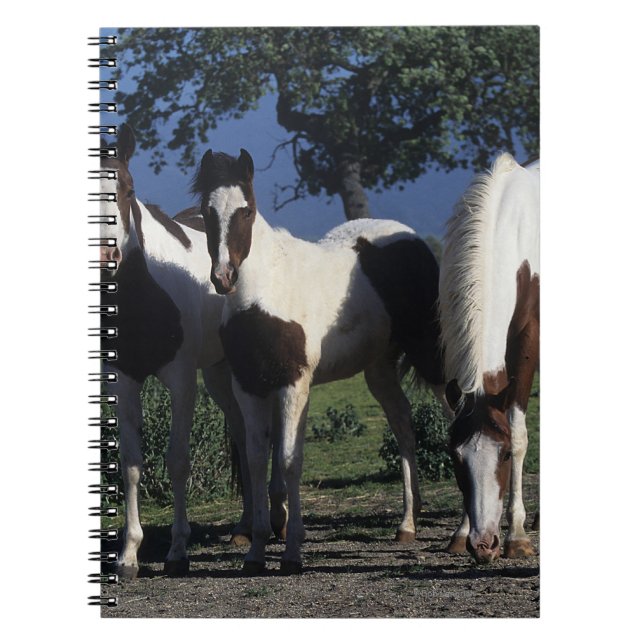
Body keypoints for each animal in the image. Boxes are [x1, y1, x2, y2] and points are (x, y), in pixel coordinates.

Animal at [97, 125, 287, 578]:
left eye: (128, 189)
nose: (107, 256)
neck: (144, 292)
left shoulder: (181, 381)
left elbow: (178, 460)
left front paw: (178, 550)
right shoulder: (125, 381)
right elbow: (131, 464)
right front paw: (128, 554)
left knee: (268, 435)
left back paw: (276, 520)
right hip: (219, 374)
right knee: (241, 434)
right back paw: (244, 528)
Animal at [192, 147, 445, 574]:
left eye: (246, 210)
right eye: (207, 212)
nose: (224, 277)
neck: (265, 293)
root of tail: (410, 239)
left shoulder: (294, 384)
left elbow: (289, 460)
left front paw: (293, 551)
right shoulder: (249, 386)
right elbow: (256, 460)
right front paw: (256, 551)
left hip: (431, 354)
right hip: (379, 368)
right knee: (403, 424)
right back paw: (408, 523)